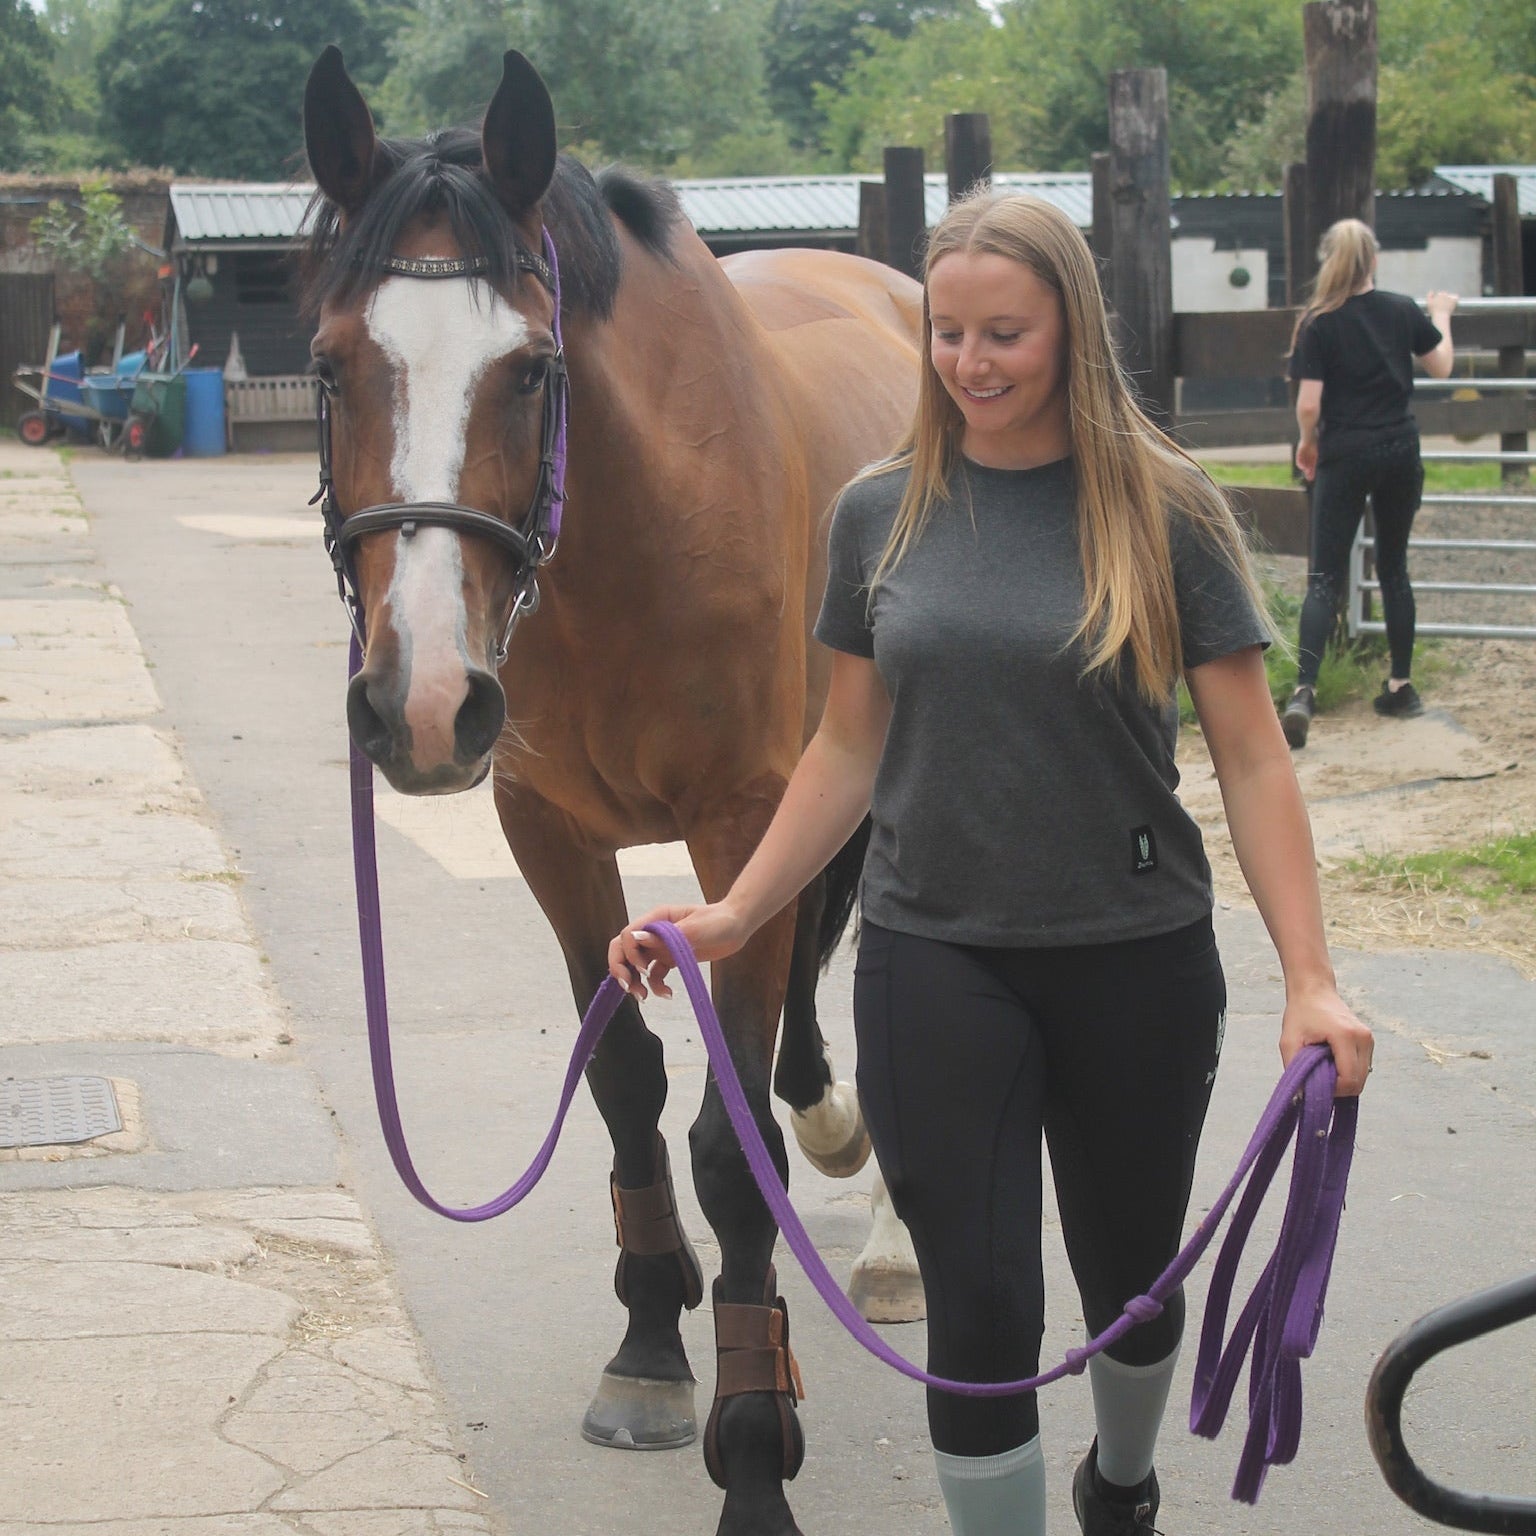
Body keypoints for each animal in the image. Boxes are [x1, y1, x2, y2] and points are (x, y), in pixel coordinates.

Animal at [302, 45, 923, 1536]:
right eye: (331, 366)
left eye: (533, 371)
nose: (418, 703)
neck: (626, 535)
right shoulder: (550, 831)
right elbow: (632, 1082)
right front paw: (651, 1344)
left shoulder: (742, 821)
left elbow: (730, 1138)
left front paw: (754, 1454)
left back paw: (886, 1238)